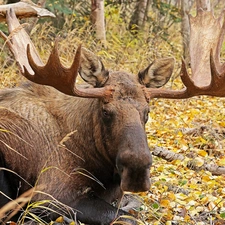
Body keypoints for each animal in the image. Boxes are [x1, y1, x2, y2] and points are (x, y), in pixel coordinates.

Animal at [0, 9, 175, 225]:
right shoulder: (50, 196)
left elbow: (133, 204)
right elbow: (129, 218)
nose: (137, 172)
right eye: (105, 111)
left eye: (147, 112)